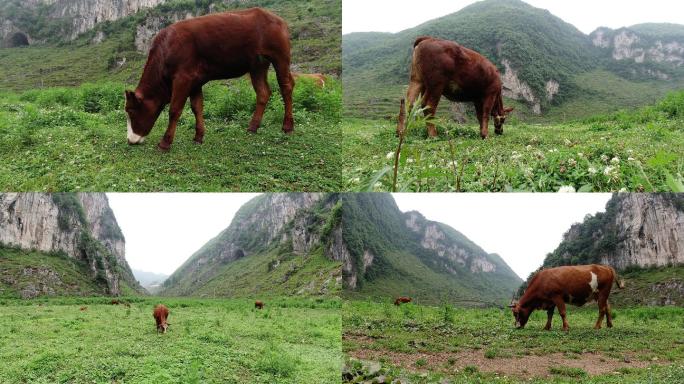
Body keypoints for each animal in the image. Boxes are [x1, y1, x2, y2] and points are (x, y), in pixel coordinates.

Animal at [125, 7, 294, 150]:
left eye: (131, 111)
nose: (130, 140)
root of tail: (276, 18)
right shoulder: (195, 80)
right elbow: (197, 107)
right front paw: (198, 137)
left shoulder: (183, 77)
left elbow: (174, 109)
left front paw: (165, 143)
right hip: (257, 65)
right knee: (263, 92)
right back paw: (253, 127)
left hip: (280, 56)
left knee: (286, 86)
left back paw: (287, 127)